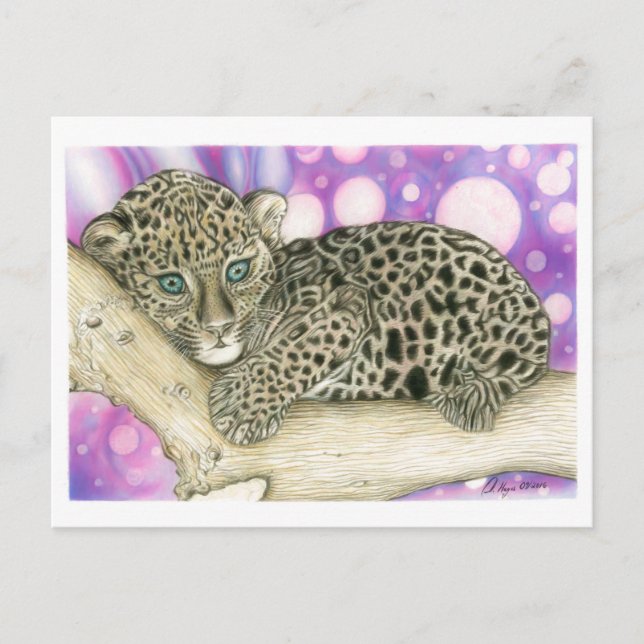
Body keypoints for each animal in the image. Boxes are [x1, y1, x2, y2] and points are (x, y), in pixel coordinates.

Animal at [81, 169, 550, 445]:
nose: (220, 328)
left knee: (521, 365)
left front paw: (241, 404)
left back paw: (471, 394)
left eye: (238, 271)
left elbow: (302, 347)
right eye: (172, 283)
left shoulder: (348, 302)